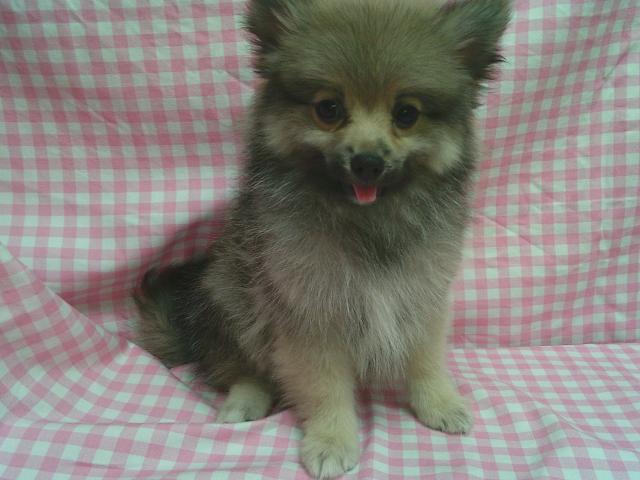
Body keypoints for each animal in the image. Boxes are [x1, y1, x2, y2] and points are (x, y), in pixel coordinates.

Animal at [134, 0, 510, 477]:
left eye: (406, 114)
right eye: (328, 109)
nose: (367, 162)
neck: (367, 221)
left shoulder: (421, 295)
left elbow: (425, 358)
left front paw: (439, 403)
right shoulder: (312, 314)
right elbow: (325, 388)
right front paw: (332, 440)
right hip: (230, 299)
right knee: (237, 366)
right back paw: (244, 401)